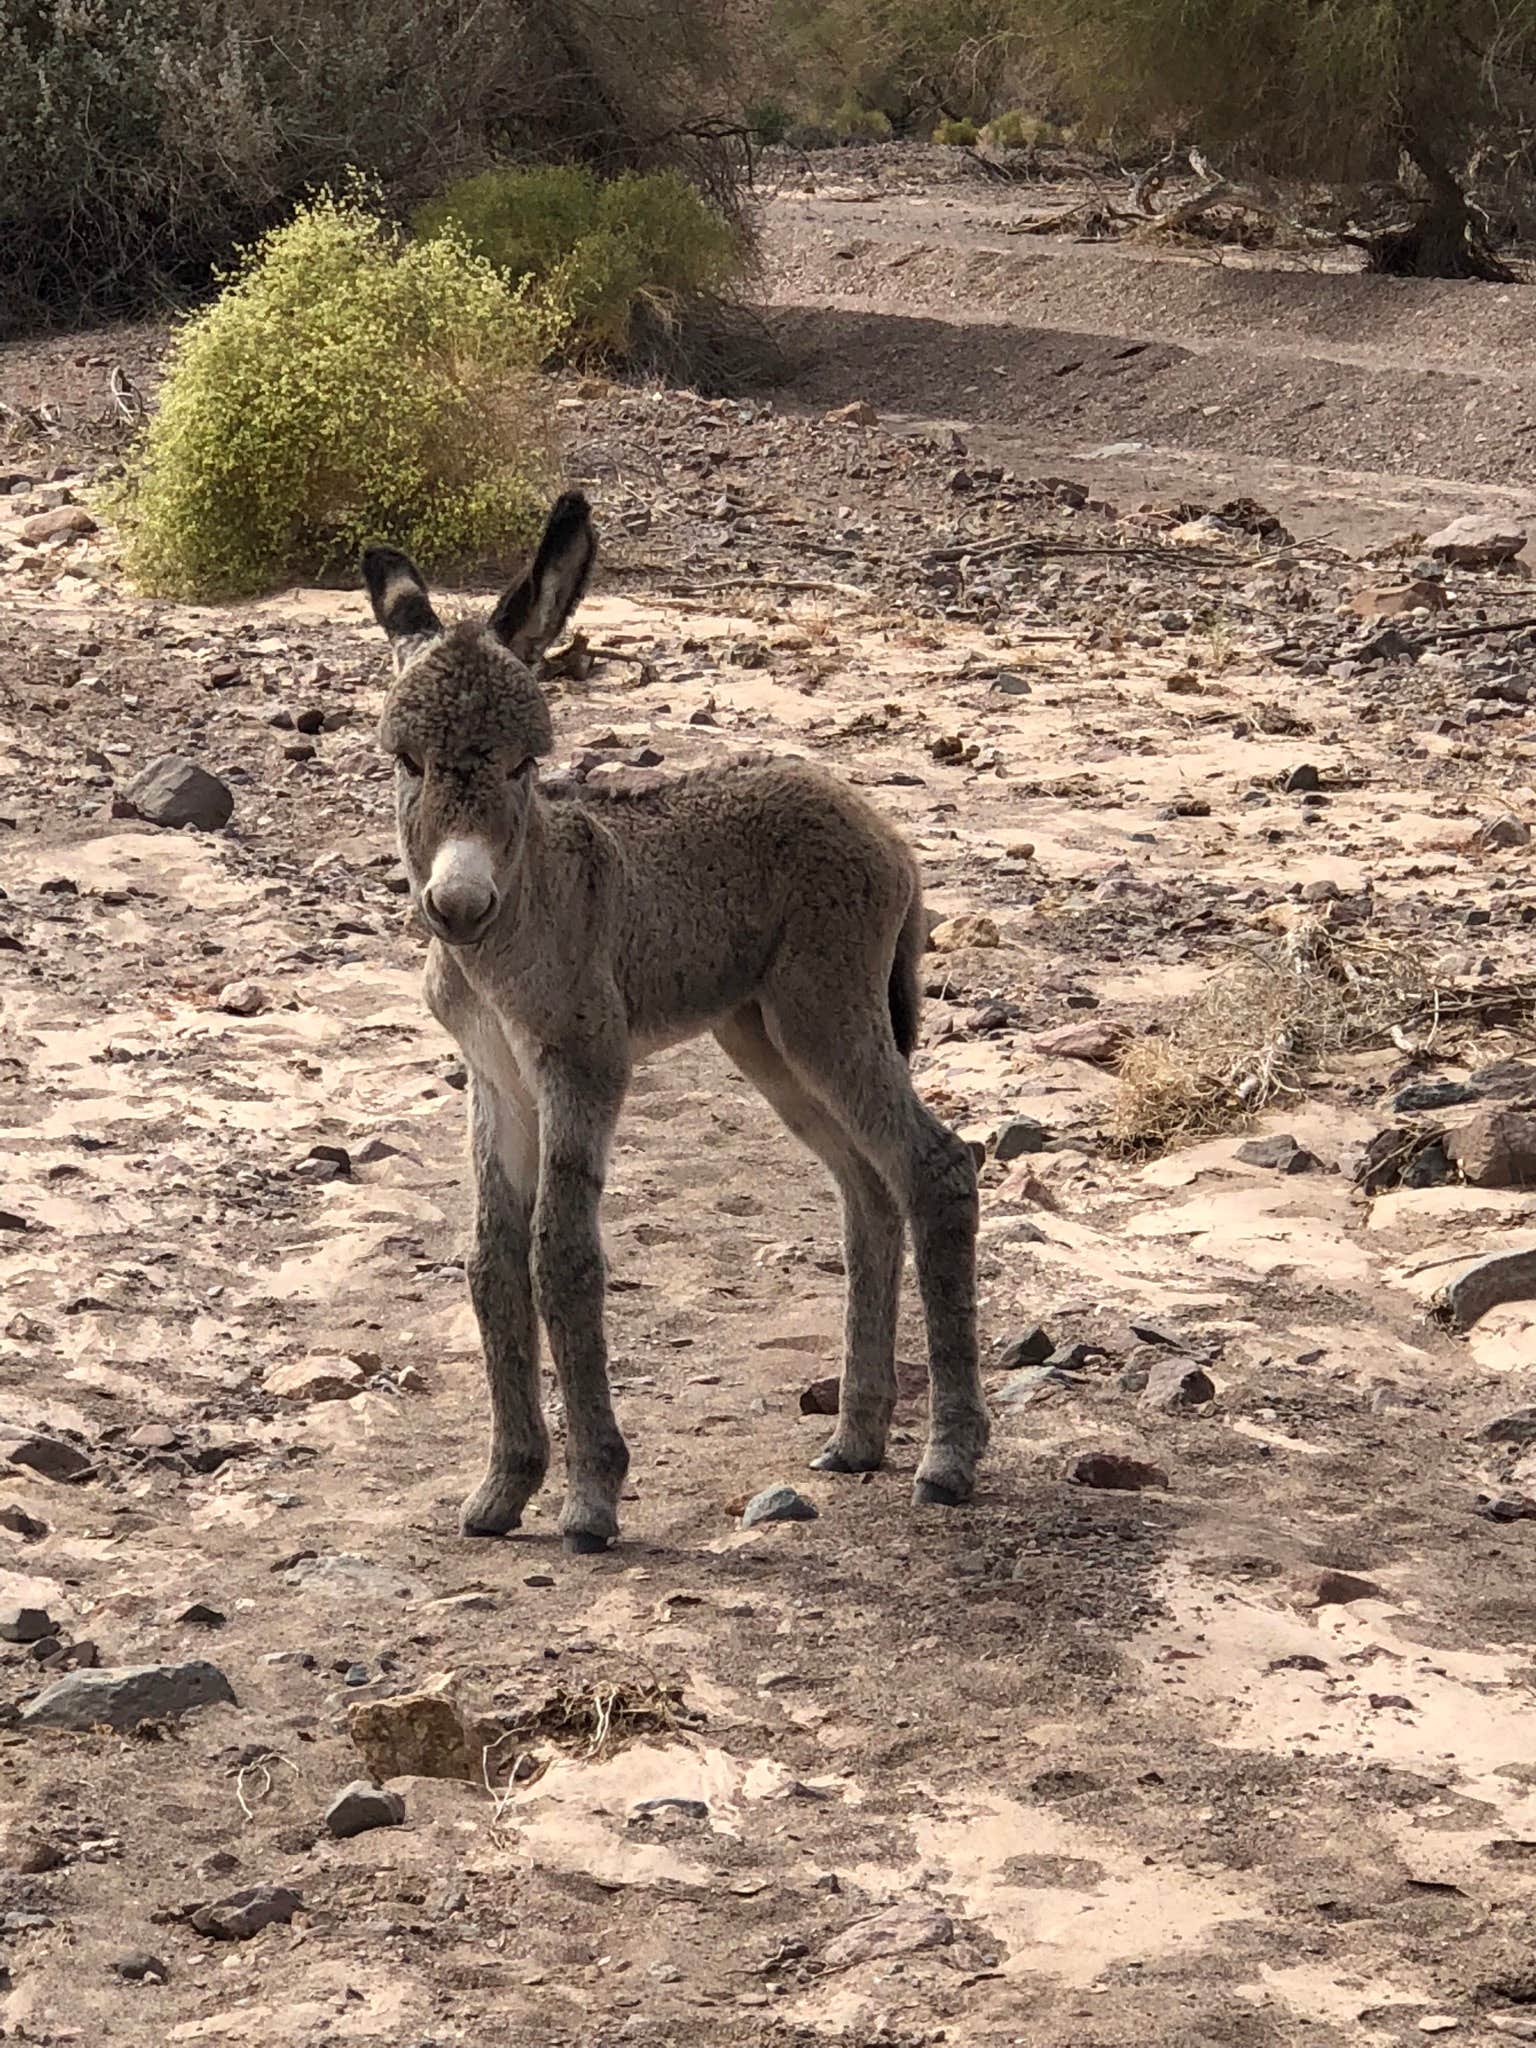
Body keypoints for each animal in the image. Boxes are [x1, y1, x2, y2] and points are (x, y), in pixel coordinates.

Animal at [364, 495, 987, 1548]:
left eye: (527, 764)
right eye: (405, 762)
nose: (457, 905)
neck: (513, 928)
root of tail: (877, 821)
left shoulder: (583, 1060)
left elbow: (561, 1256)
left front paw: (590, 1498)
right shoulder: (493, 1075)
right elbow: (492, 1263)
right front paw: (504, 1487)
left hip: (826, 1014)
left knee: (934, 1168)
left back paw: (947, 1460)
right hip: (763, 1035)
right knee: (868, 1188)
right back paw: (858, 1438)